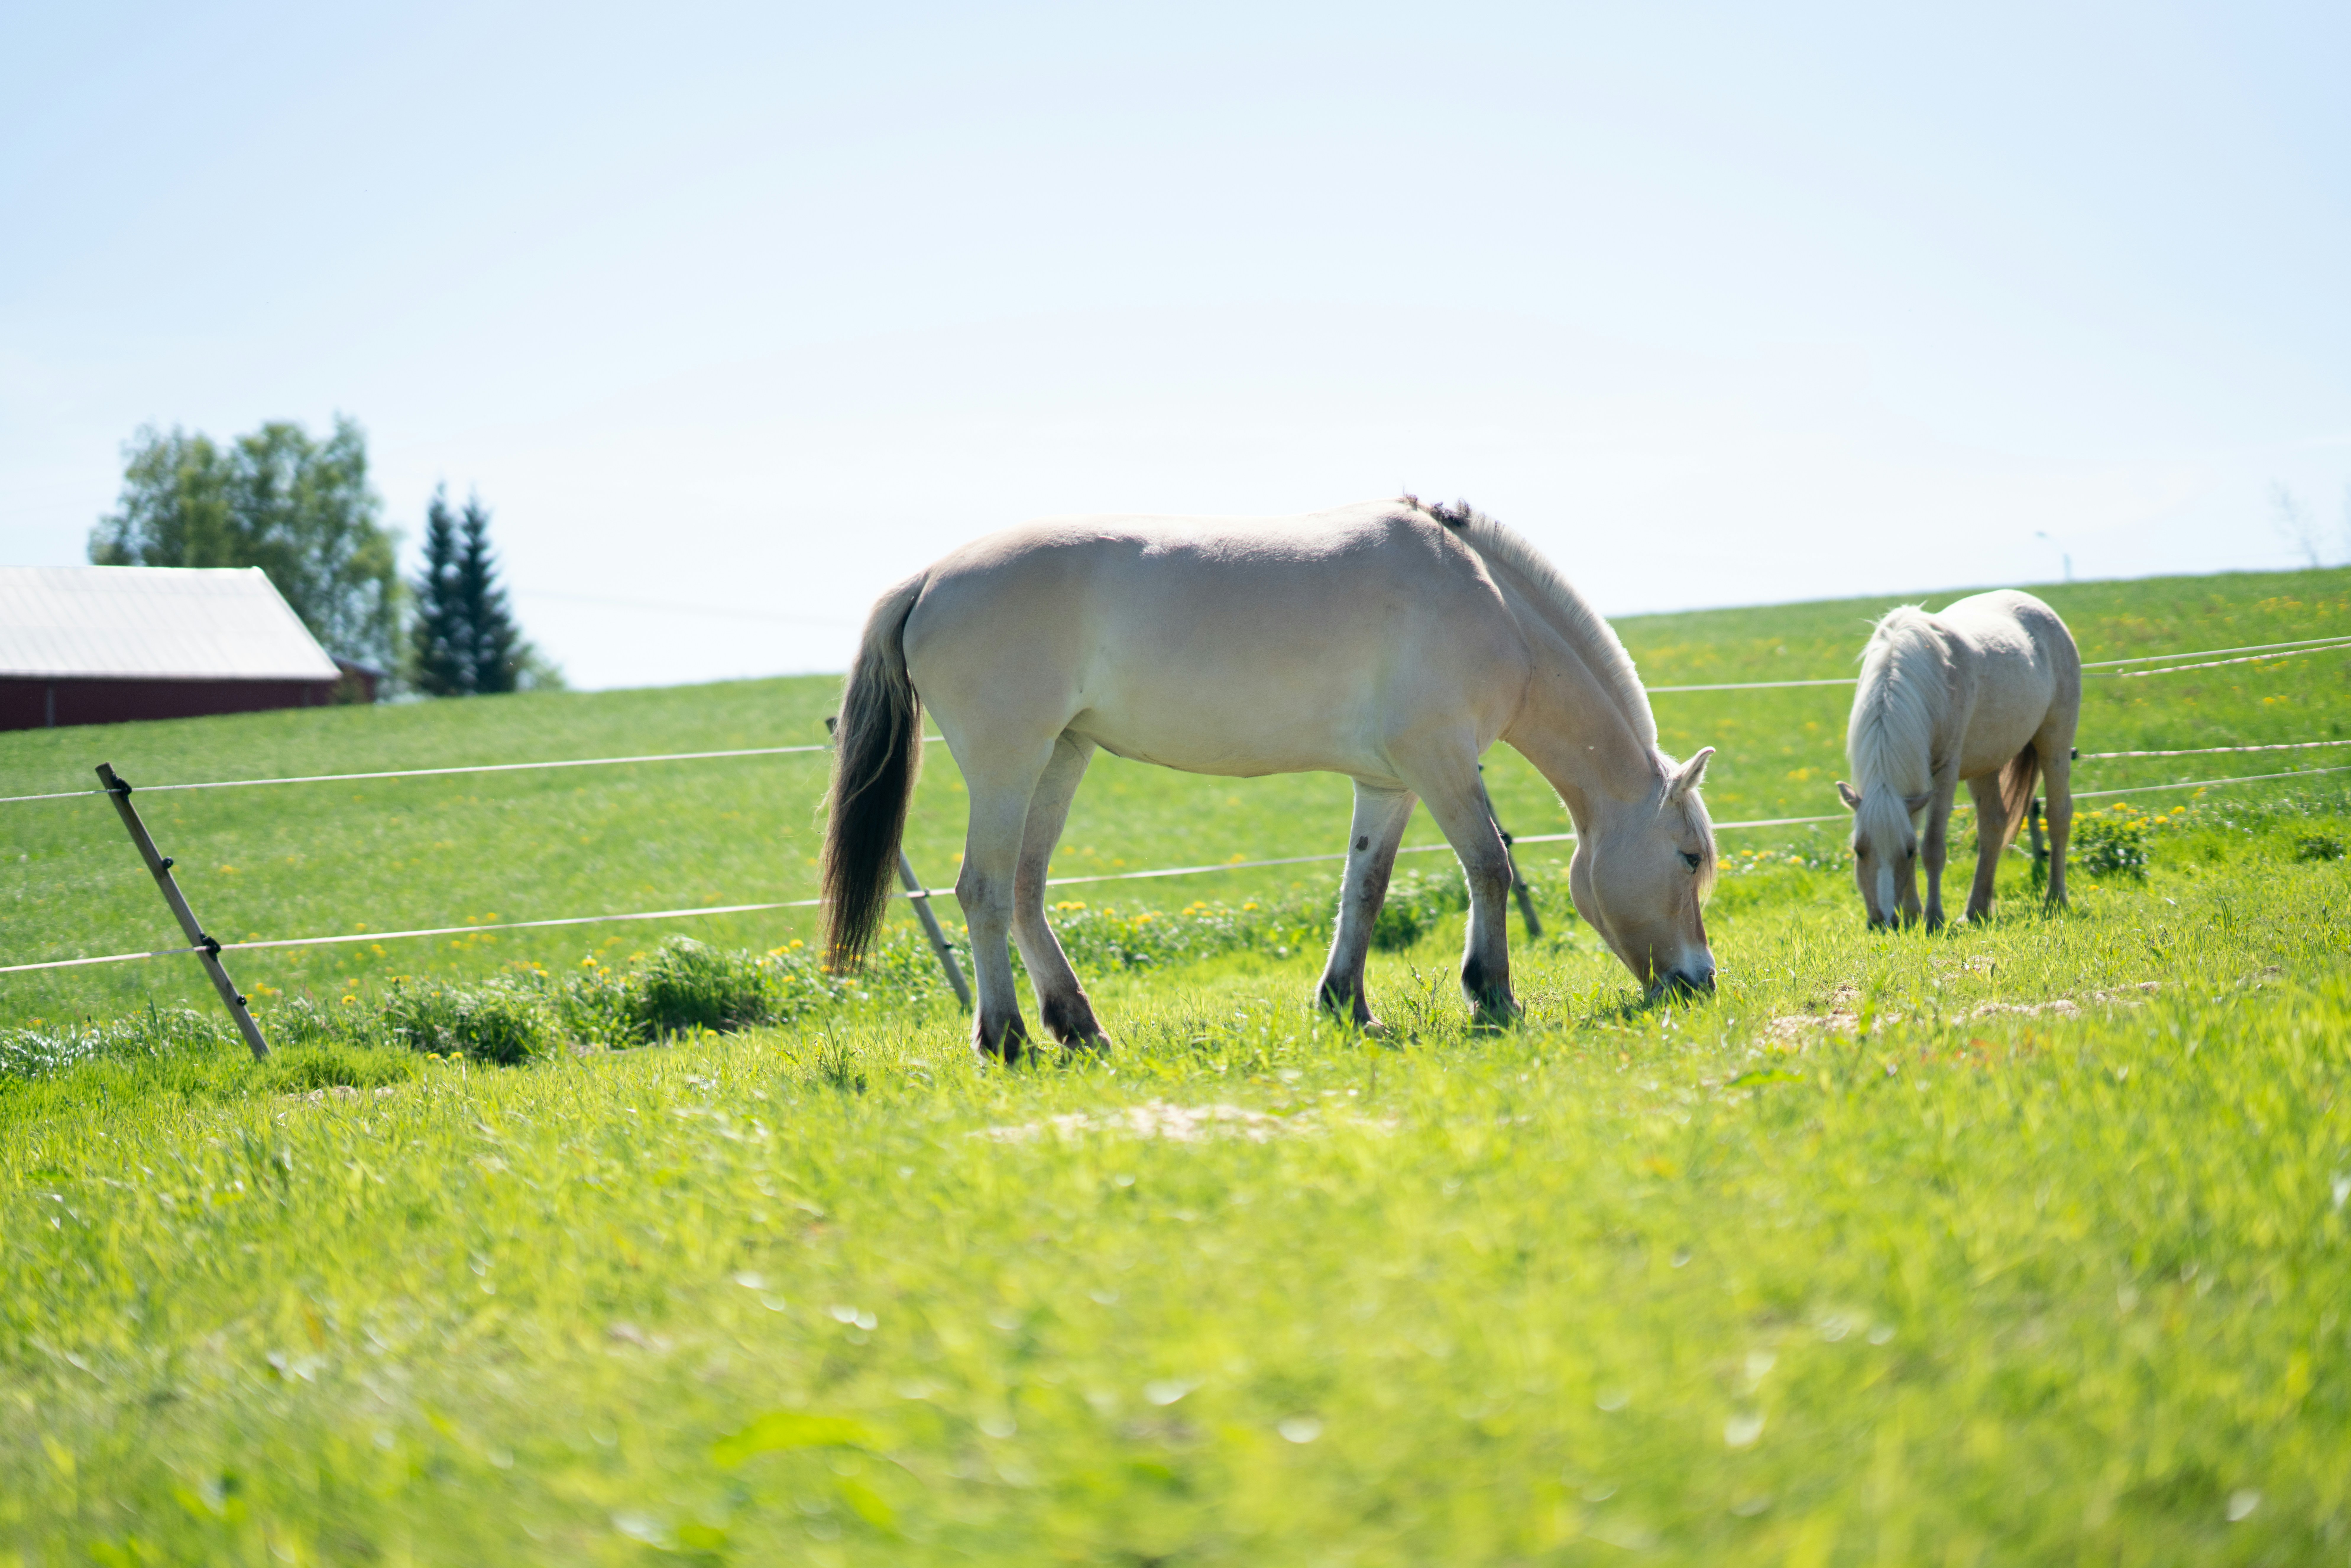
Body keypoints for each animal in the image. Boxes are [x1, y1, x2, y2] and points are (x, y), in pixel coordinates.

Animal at [820, 497, 1721, 1059]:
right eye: (1688, 859)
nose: (1700, 982)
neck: (1488, 600)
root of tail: (928, 580)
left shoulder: (1390, 784)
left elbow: (1366, 889)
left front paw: (1348, 1005)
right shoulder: (1440, 761)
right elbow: (1489, 868)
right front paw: (1493, 996)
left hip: (1061, 759)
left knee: (1023, 891)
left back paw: (1079, 1027)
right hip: (1010, 761)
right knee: (981, 890)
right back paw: (1007, 1039)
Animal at [1835, 591, 2081, 929]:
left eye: (1907, 852)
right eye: (1859, 851)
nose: (1883, 922)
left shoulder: (1945, 772)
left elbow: (1933, 848)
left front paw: (1933, 919)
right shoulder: (1914, 784)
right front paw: (1912, 914)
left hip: (2055, 745)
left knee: (2059, 817)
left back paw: (2055, 898)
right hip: (1985, 763)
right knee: (1993, 824)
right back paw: (1976, 910)